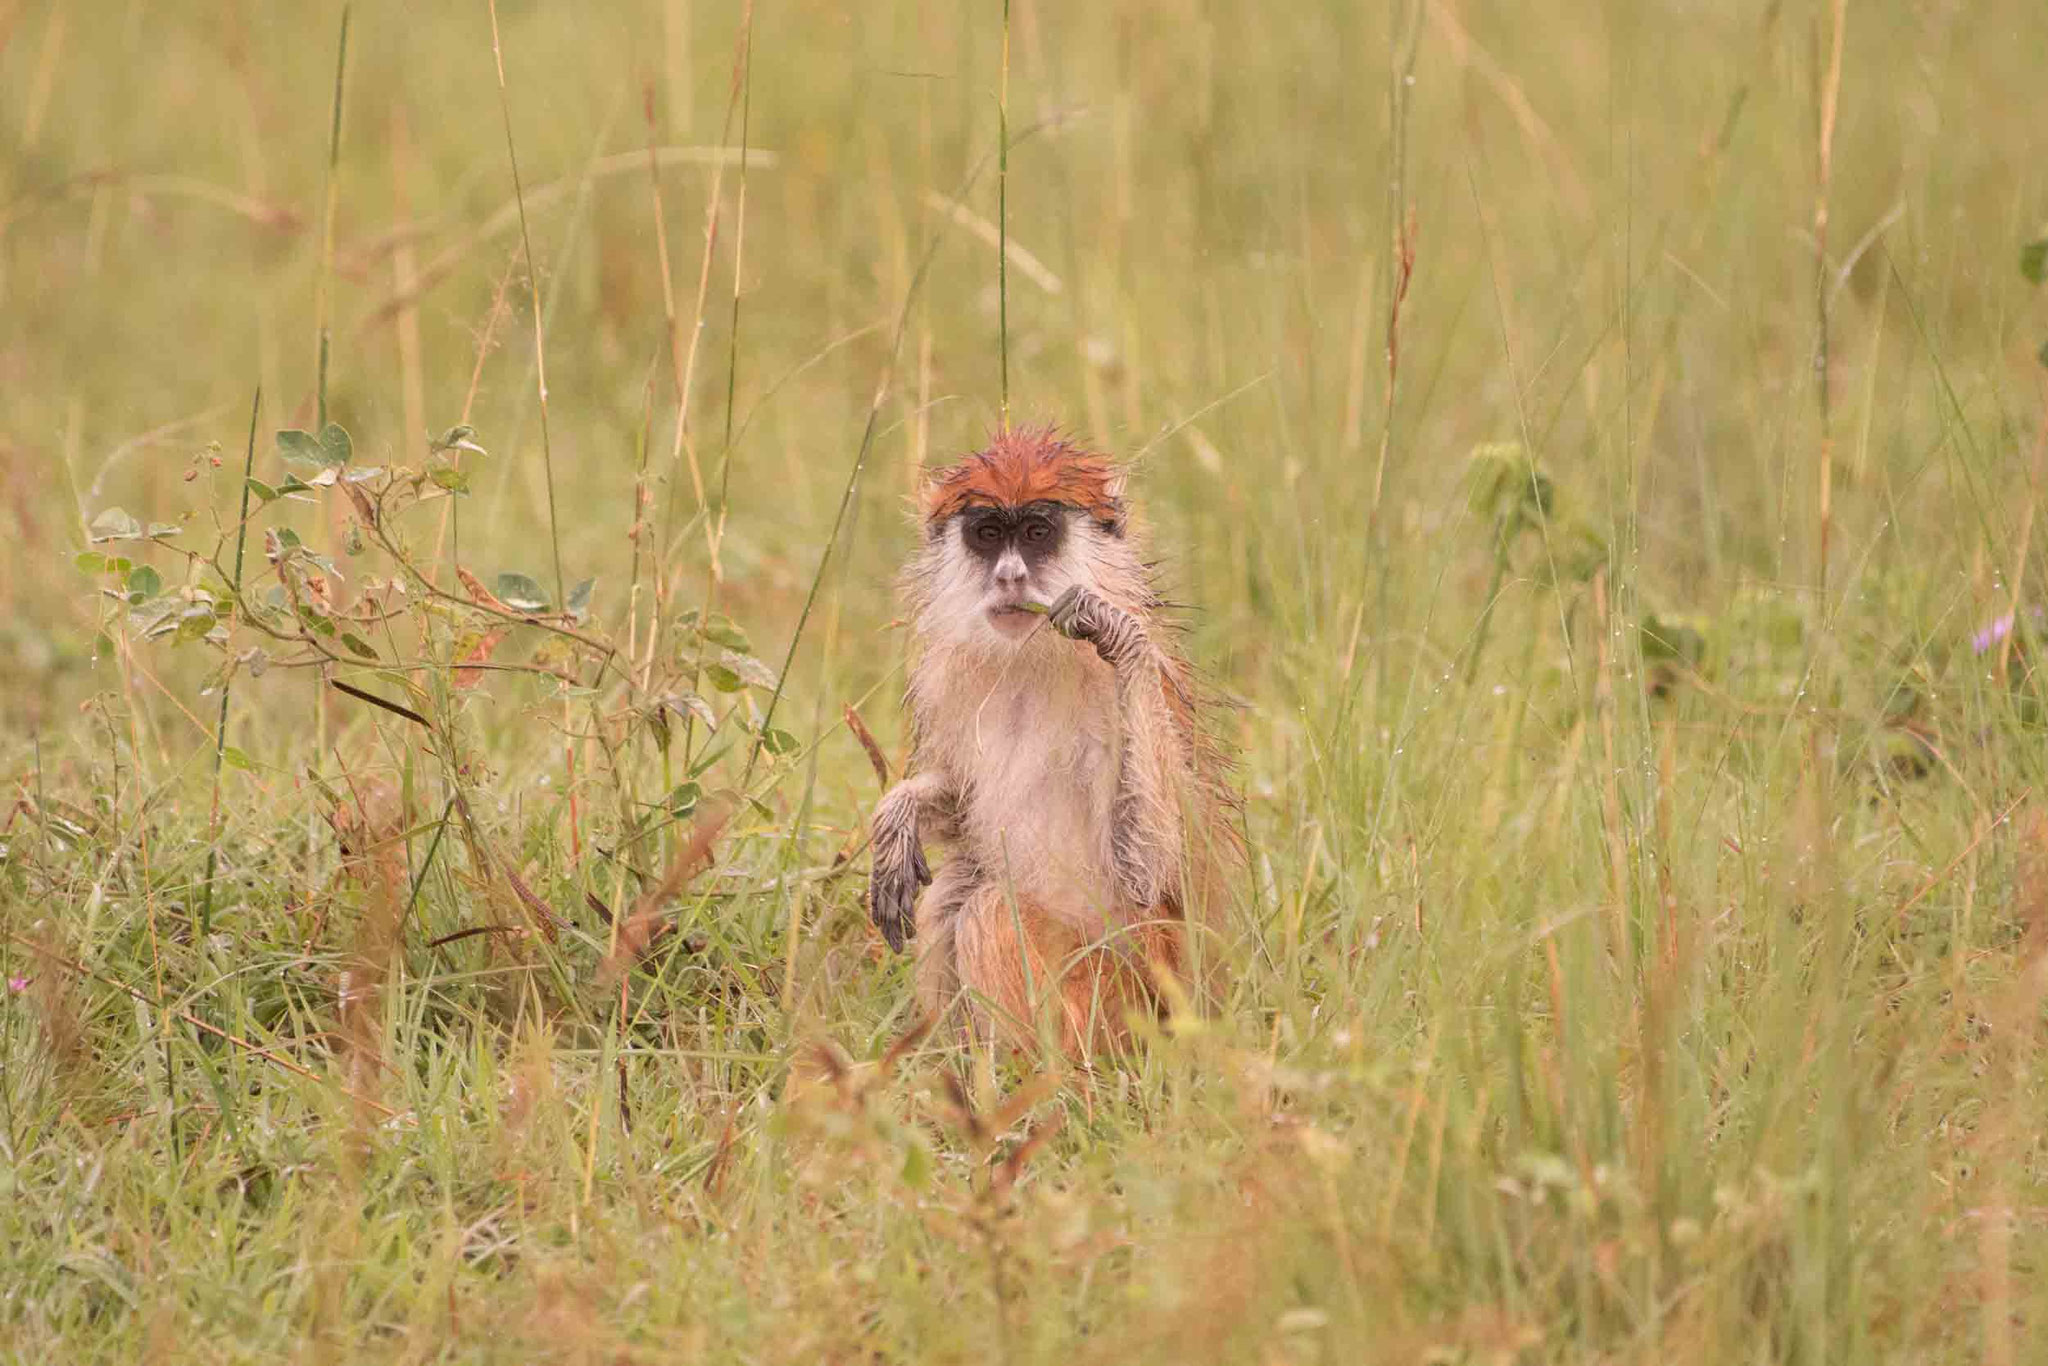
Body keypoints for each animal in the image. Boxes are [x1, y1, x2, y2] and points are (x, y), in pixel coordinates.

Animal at [867, 426, 1240, 1055]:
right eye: (989, 534)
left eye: (1037, 533)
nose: (1009, 578)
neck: (1030, 658)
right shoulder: (946, 677)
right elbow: (961, 805)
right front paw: (899, 814)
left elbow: (1151, 872)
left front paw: (1114, 631)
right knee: (955, 890)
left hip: (1123, 1001)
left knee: (989, 909)